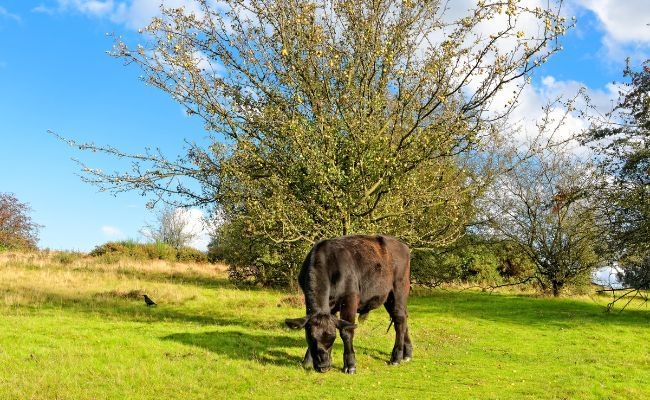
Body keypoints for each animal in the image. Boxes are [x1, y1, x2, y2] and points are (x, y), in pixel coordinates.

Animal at [284, 236, 410, 374]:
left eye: (332, 337)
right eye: (311, 338)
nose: (323, 366)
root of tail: (402, 245)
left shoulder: (350, 299)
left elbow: (347, 331)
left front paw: (350, 364)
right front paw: (307, 361)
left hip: (399, 289)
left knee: (399, 320)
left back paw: (396, 357)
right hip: (388, 298)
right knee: (403, 319)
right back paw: (407, 353)